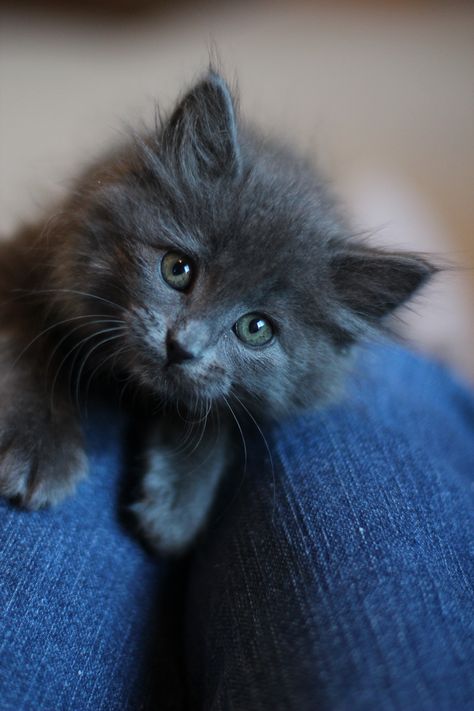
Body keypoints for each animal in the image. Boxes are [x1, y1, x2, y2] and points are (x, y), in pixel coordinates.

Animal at [0, 72, 436, 552]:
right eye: (177, 268)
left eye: (256, 328)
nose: (181, 346)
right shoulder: (20, 262)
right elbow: (32, 350)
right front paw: (40, 450)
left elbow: (219, 415)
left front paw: (178, 502)